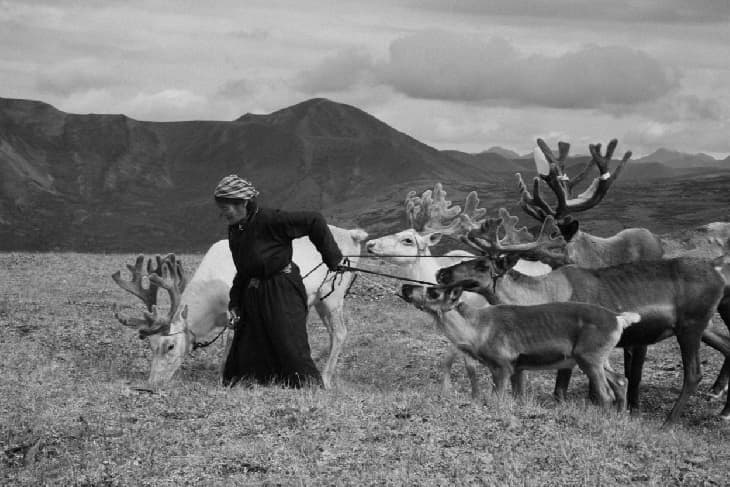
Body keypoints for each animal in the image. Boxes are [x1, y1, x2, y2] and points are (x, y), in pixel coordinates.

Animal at [112, 225, 368, 389]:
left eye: (171, 346)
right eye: (150, 345)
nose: (151, 384)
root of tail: (353, 235)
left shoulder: (233, 311)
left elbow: (228, 343)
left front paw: (223, 378)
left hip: (333, 294)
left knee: (340, 332)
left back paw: (325, 378)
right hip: (315, 299)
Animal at [400, 280, 641, 411]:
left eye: (433, 292)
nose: (405, 286)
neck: (476, 331)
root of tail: (619, 319)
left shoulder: (502, 365)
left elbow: (496, 398)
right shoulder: (518, 367)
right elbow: (518, 397)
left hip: (589, 358)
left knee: (606, 394)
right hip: (600, 358)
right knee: (621, 381)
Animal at [435, 208, 730, 425]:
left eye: (483, 264)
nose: (441, 273)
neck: (539, 295)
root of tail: (717, 270)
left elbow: (562, 391)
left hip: (690, 327)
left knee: (693, 373)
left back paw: (669, 422)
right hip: (703, 325)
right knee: (727, 345)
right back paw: (722, 408)